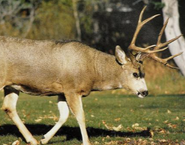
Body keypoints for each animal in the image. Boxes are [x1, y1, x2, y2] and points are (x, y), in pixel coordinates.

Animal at [0, 6, 182, 144]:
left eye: (144, 72)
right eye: (135, 73)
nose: (145, 92)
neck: (92, 69)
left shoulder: (62, 90)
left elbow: (64, 115)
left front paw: (44, 139)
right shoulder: (72, 89)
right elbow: (80, 116)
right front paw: (86, 142)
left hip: (12, 85)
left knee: (9, 107)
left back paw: (32, 140)